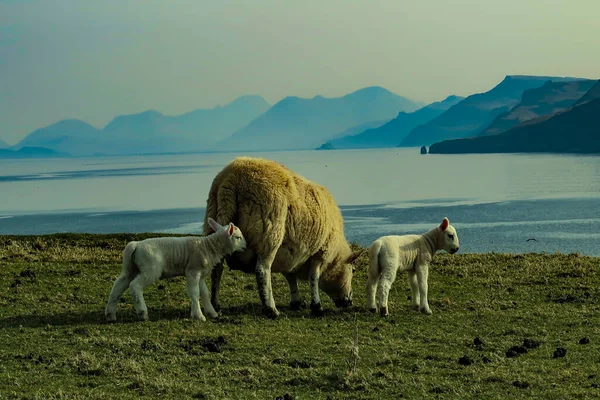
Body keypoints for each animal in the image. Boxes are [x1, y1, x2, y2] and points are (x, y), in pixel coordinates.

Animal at [104, 219, 245, 322]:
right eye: (238, 237)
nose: (246, 246)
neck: (209, 247)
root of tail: (136, 245)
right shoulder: (192, 271)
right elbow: (195, 293)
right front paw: (198, 315)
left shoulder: (200, 275)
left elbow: (204, 293)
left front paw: (212, 313)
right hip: (151, 269)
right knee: (135, 285)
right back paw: (142, 313)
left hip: (130, 269)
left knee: (118, 286)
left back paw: (110, 314)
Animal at [203, 156, 360, 318]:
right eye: (353, 270)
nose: (349, 302)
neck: (334, 256)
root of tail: (232, 178)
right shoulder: (320, 252)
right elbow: (314, 277)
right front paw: (317, 306)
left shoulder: (288, 253)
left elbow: (290, 277)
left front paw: (296, 301)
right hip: (268, 234)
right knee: (262, 270)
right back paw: (271, 309)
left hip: (215, 224)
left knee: (217, 269)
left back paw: (216, 305)